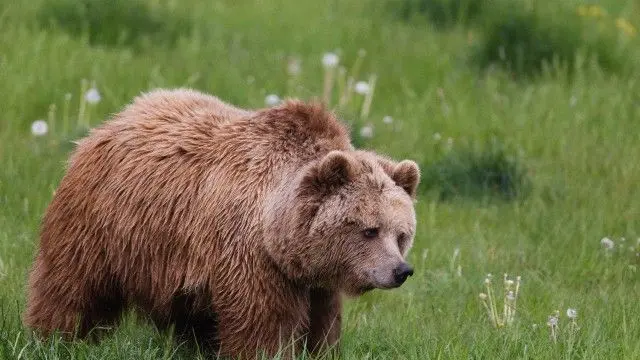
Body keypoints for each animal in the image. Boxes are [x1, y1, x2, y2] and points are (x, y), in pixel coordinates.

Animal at [23, 88, 420, 358]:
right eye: (369, 229)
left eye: (401, 235)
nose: (401, 270)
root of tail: (117, 117)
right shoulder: (252, 259)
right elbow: (262, 324)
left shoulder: (314, 283)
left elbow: (323, 327)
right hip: (103, 225)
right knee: (72, 286)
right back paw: (57, 337)